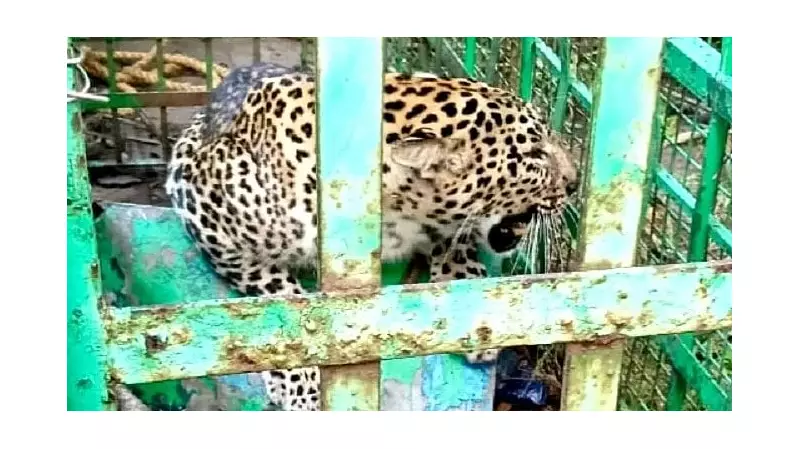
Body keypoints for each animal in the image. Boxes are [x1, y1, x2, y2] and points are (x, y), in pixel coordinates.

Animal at [165, 66, 579, 411]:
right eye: (535, 154)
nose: (575, 182)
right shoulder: (206, 214)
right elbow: (282, 300)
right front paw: (302, 379)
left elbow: (454, 244)